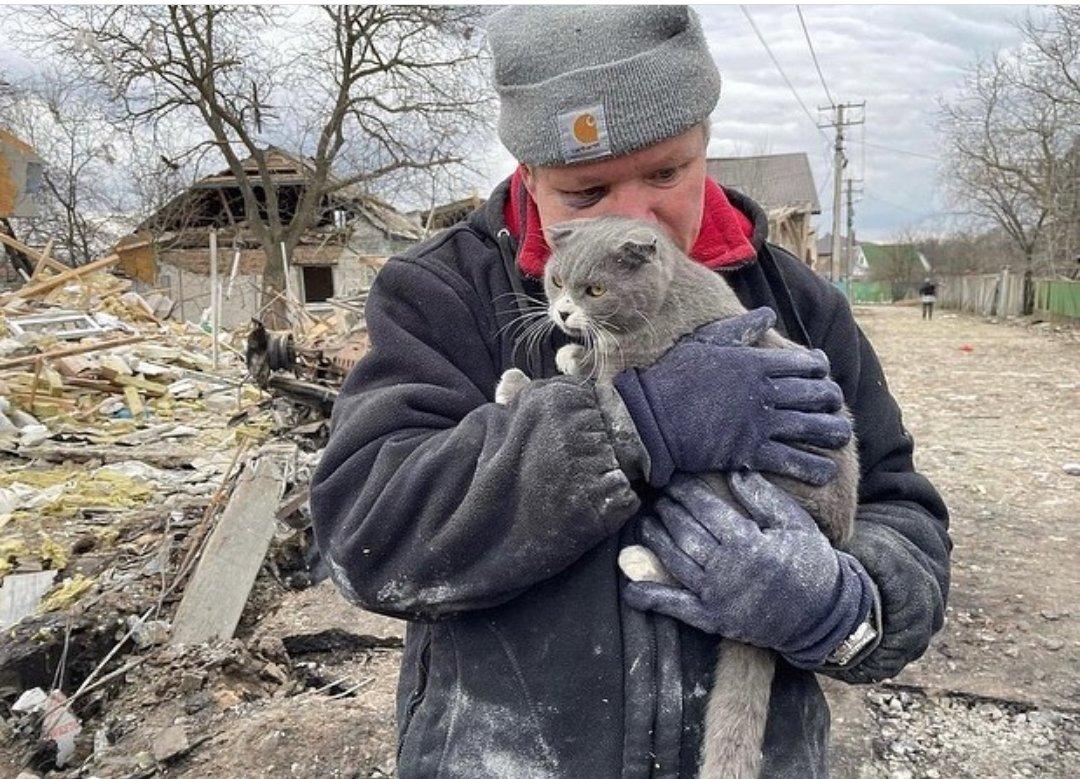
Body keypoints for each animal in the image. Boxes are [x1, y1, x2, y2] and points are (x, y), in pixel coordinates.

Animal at [496, 216, 859, 773]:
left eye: (595, 290)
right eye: (557, 281)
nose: (562, 313)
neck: (661, 302)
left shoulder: (630, 375)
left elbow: (597, 398)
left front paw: (517, 384)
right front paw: (571, 353)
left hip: (730, 482)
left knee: (702, 575)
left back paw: (644, 562)